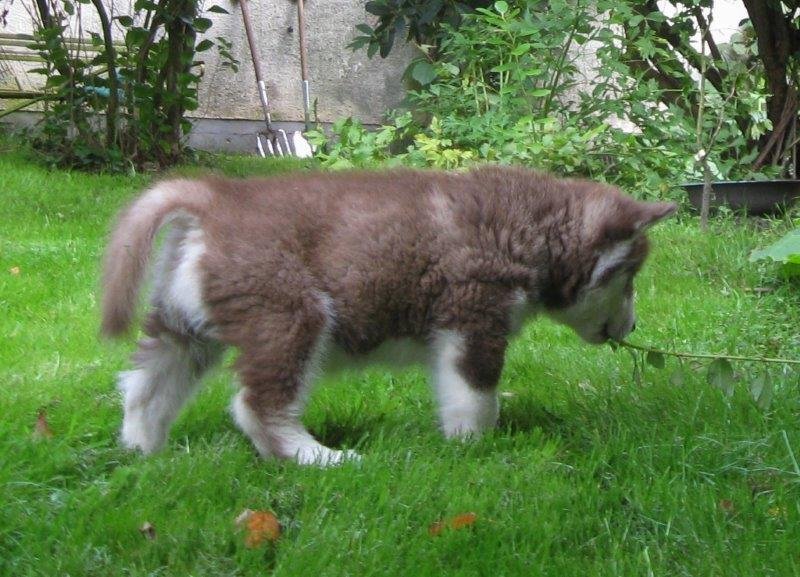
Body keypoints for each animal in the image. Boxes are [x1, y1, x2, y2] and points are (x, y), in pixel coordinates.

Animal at [101, 165, 676, 465]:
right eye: (630, 277)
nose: (633, 327)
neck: (529, 228)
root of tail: (215, 200)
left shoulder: (452, 335)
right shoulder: (472, 318)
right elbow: (476, 396)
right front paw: (476, 449)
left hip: (187, 325)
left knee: (146, 384)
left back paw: (143, 451)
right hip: (292, 315)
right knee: (256, 405)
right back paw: (320, 458)